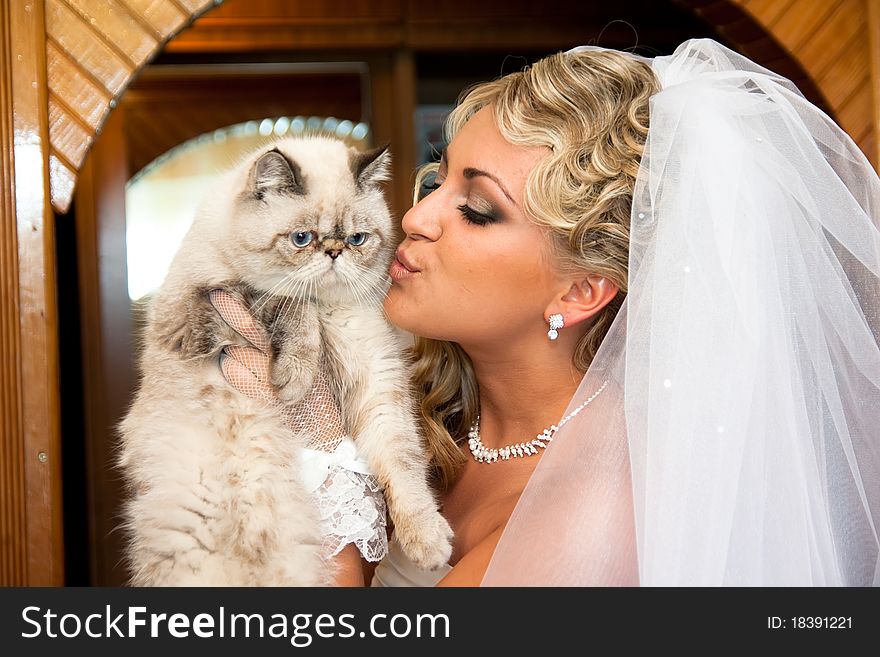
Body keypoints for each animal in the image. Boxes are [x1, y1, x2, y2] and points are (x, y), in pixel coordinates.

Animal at [118, 137, 454, 584]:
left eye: (357, 239)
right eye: (301, 238)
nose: (334, 251)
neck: (329, 307)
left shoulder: (378, 386)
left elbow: (405, 470)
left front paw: (428, 545)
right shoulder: (203, 309)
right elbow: (293, 304)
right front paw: (296, 377)